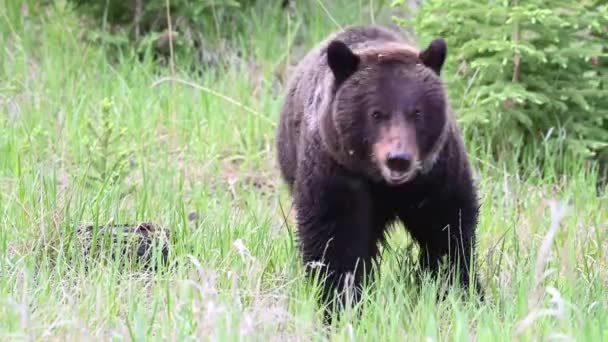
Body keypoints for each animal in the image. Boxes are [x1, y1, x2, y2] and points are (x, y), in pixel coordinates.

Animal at [278, 24, 482, 318]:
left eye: (417, 112)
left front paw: (458, 292)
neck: (384, 185)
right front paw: (341, 302)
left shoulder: (435, 173)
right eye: (376, 113)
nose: (399, 160)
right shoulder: (336, 172)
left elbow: (447, 230)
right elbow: (336, 240)